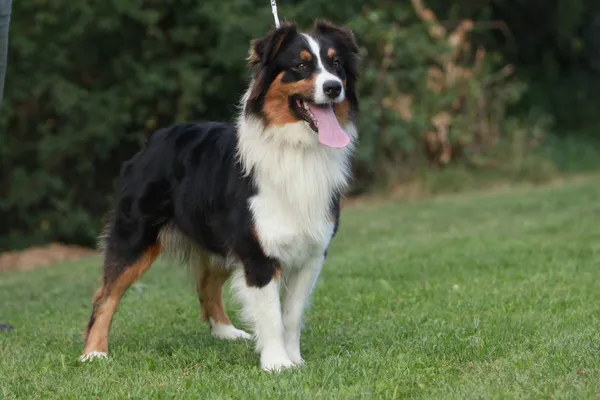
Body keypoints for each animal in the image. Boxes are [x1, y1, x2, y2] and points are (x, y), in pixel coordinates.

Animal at [81, 19, 358, 372]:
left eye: (336, 64)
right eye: (300, 65)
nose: (334, 87)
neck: (297, 149)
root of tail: (156, 137)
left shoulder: (311, 252)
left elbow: (292, 314)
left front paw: (295, 360)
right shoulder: (257, 252)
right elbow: (271, 314)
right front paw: (277, 364)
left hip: (220, 240)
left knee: (207, 285)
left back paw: (226, 331)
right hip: (136, 235)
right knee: (105, 293)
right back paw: (93, 352)